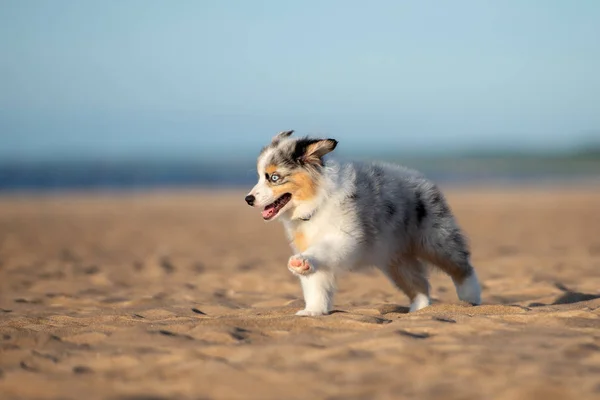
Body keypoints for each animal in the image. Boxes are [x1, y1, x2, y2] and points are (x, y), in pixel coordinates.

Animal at [244, 130, 482, 316]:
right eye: (260, 176)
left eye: (274, 177)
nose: (248, 199)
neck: (318, 201)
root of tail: (422, 179)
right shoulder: (309, 241)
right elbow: (315, 282)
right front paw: (313, 310)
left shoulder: (345, 237)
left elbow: (323, 250)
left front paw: (302, 262)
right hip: (395, 259)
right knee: (419, 284)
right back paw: (420, 310)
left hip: (434, 239)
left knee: (461, 266)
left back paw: (470, 298)